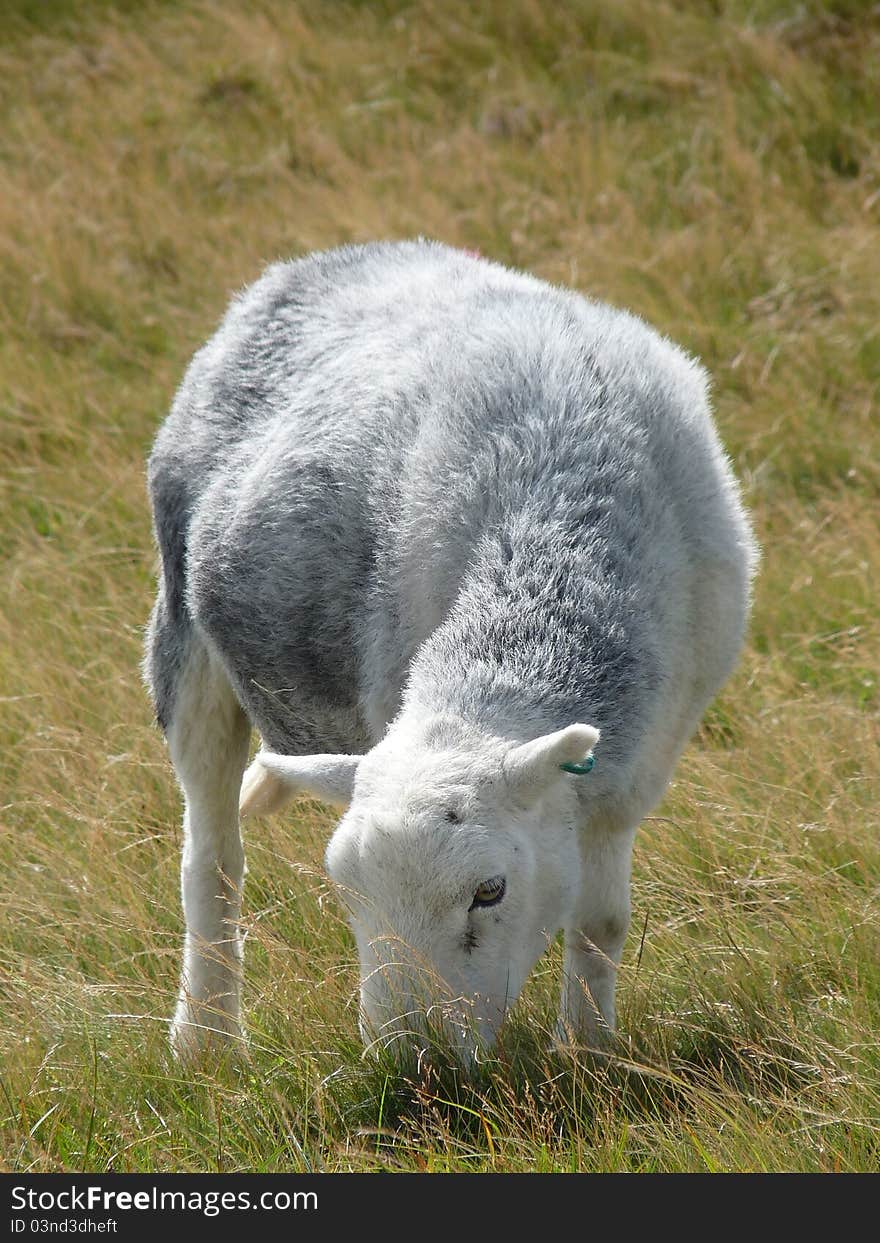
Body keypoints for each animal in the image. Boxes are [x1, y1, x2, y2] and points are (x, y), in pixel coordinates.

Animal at [142, 237, 755, 1064]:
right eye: (348, 889)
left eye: (490, 891)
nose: (411, 1064)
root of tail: (324, 261)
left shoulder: (634, 772)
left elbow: (601, 923)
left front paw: (586, 1054)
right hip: (183, 637)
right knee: (211, 861)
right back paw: (206, 1041)